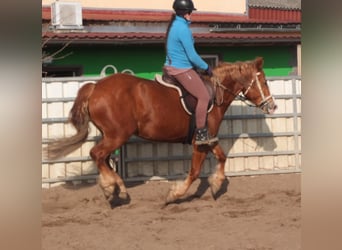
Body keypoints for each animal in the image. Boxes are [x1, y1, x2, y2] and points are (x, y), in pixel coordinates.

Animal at [44, 57, 276, 207]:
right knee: (97, 154)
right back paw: (111, 187)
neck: (214, 93)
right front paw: (175, 194)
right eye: (264, 81)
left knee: (104, 159)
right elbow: (194, 172)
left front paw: (216, 184)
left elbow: (221, 156)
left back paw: (118, 188)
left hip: (110, 135)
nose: (272, 106)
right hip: (117, 135)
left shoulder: (208, 139)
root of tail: (96, 87)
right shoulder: (199, 141)